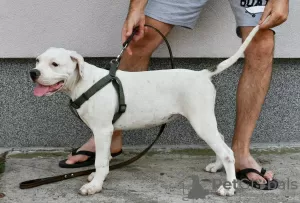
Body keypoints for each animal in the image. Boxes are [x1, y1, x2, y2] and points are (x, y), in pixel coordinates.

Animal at [29, 25, 262, 195]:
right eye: (38, 61)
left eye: (55, 64)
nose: (33, 72)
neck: (85, 82)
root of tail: (202, 74)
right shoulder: (102, 131)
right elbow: (103, 159)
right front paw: (96, 177)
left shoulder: (103, 130)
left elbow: (101, 161)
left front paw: (95, 185)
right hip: (205, 120)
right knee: (221, 141)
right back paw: (216, 166)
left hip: (201, 121)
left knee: (228, 153)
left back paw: (228, 188)